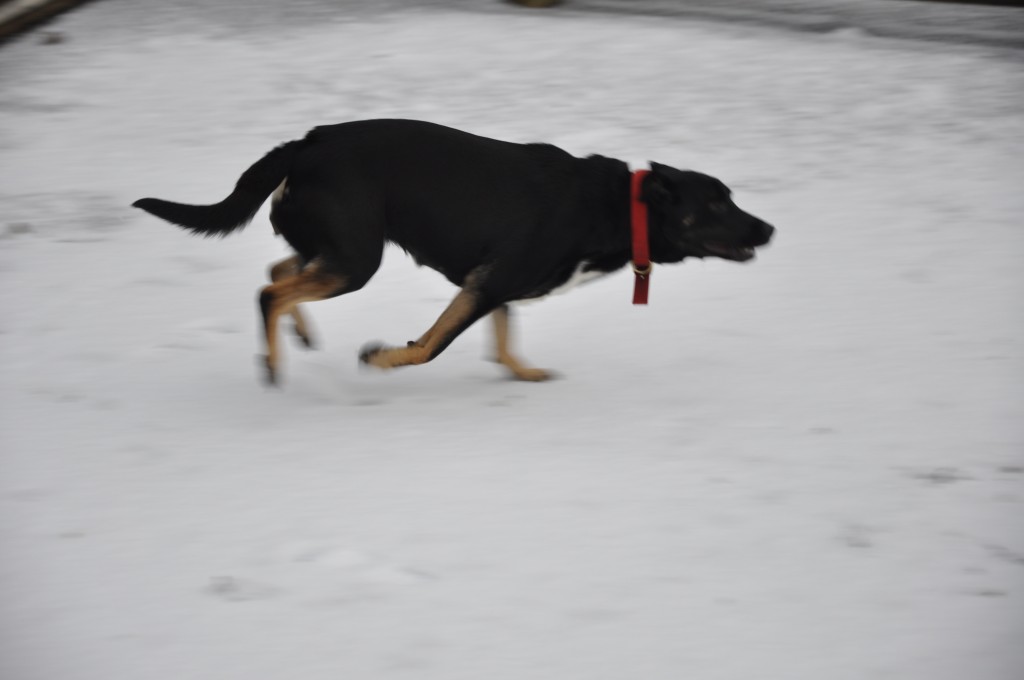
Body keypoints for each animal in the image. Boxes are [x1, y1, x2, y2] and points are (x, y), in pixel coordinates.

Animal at [136, 118, 774, 383]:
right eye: (717, 202)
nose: (768, 230)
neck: (619, 207)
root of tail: (305, 143)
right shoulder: (488, 283)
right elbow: (429, 349)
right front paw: (380, 358)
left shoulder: (495, 287)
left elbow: (504, 341)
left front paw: (523, 372)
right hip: (357, 258)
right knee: (270, 290)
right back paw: (273, 361)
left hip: (338, 247)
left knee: (278, 269)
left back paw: (300, 334)